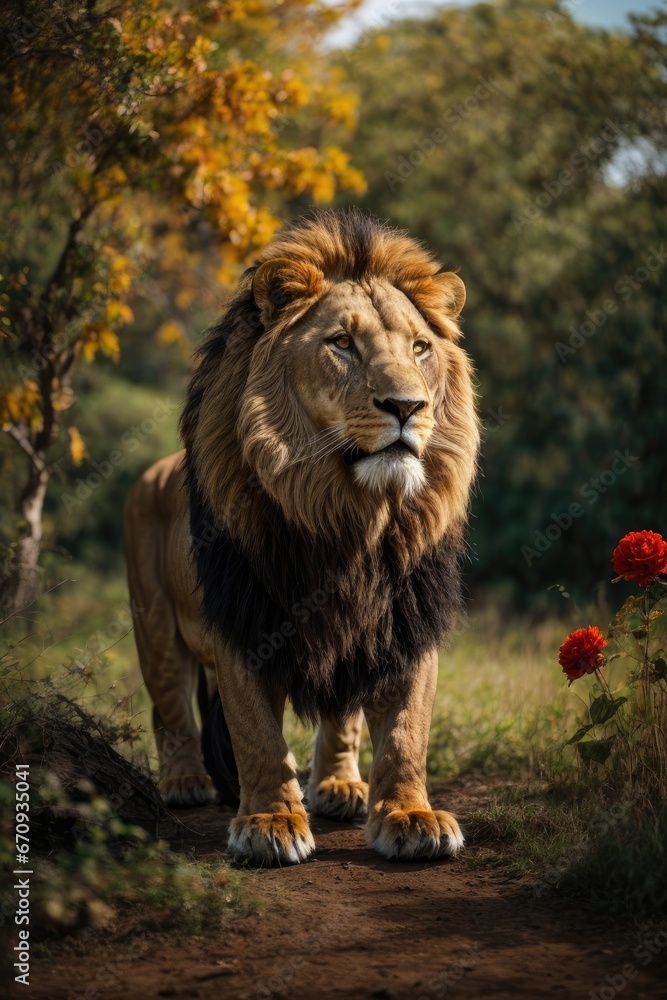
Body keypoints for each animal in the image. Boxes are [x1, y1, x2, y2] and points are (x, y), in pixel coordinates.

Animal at [124, 208, 479, 865]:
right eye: (342, 344)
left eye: (420, 348)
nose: (408, 406)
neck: (350, 519)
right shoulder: (243, 617)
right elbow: (256, 733)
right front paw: (270, 821)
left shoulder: (405, 619)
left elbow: (407, 733)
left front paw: (410, 815)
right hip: (154, 621)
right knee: (169, 708)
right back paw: (185, 781)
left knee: (343, 718)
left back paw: (340, 786)